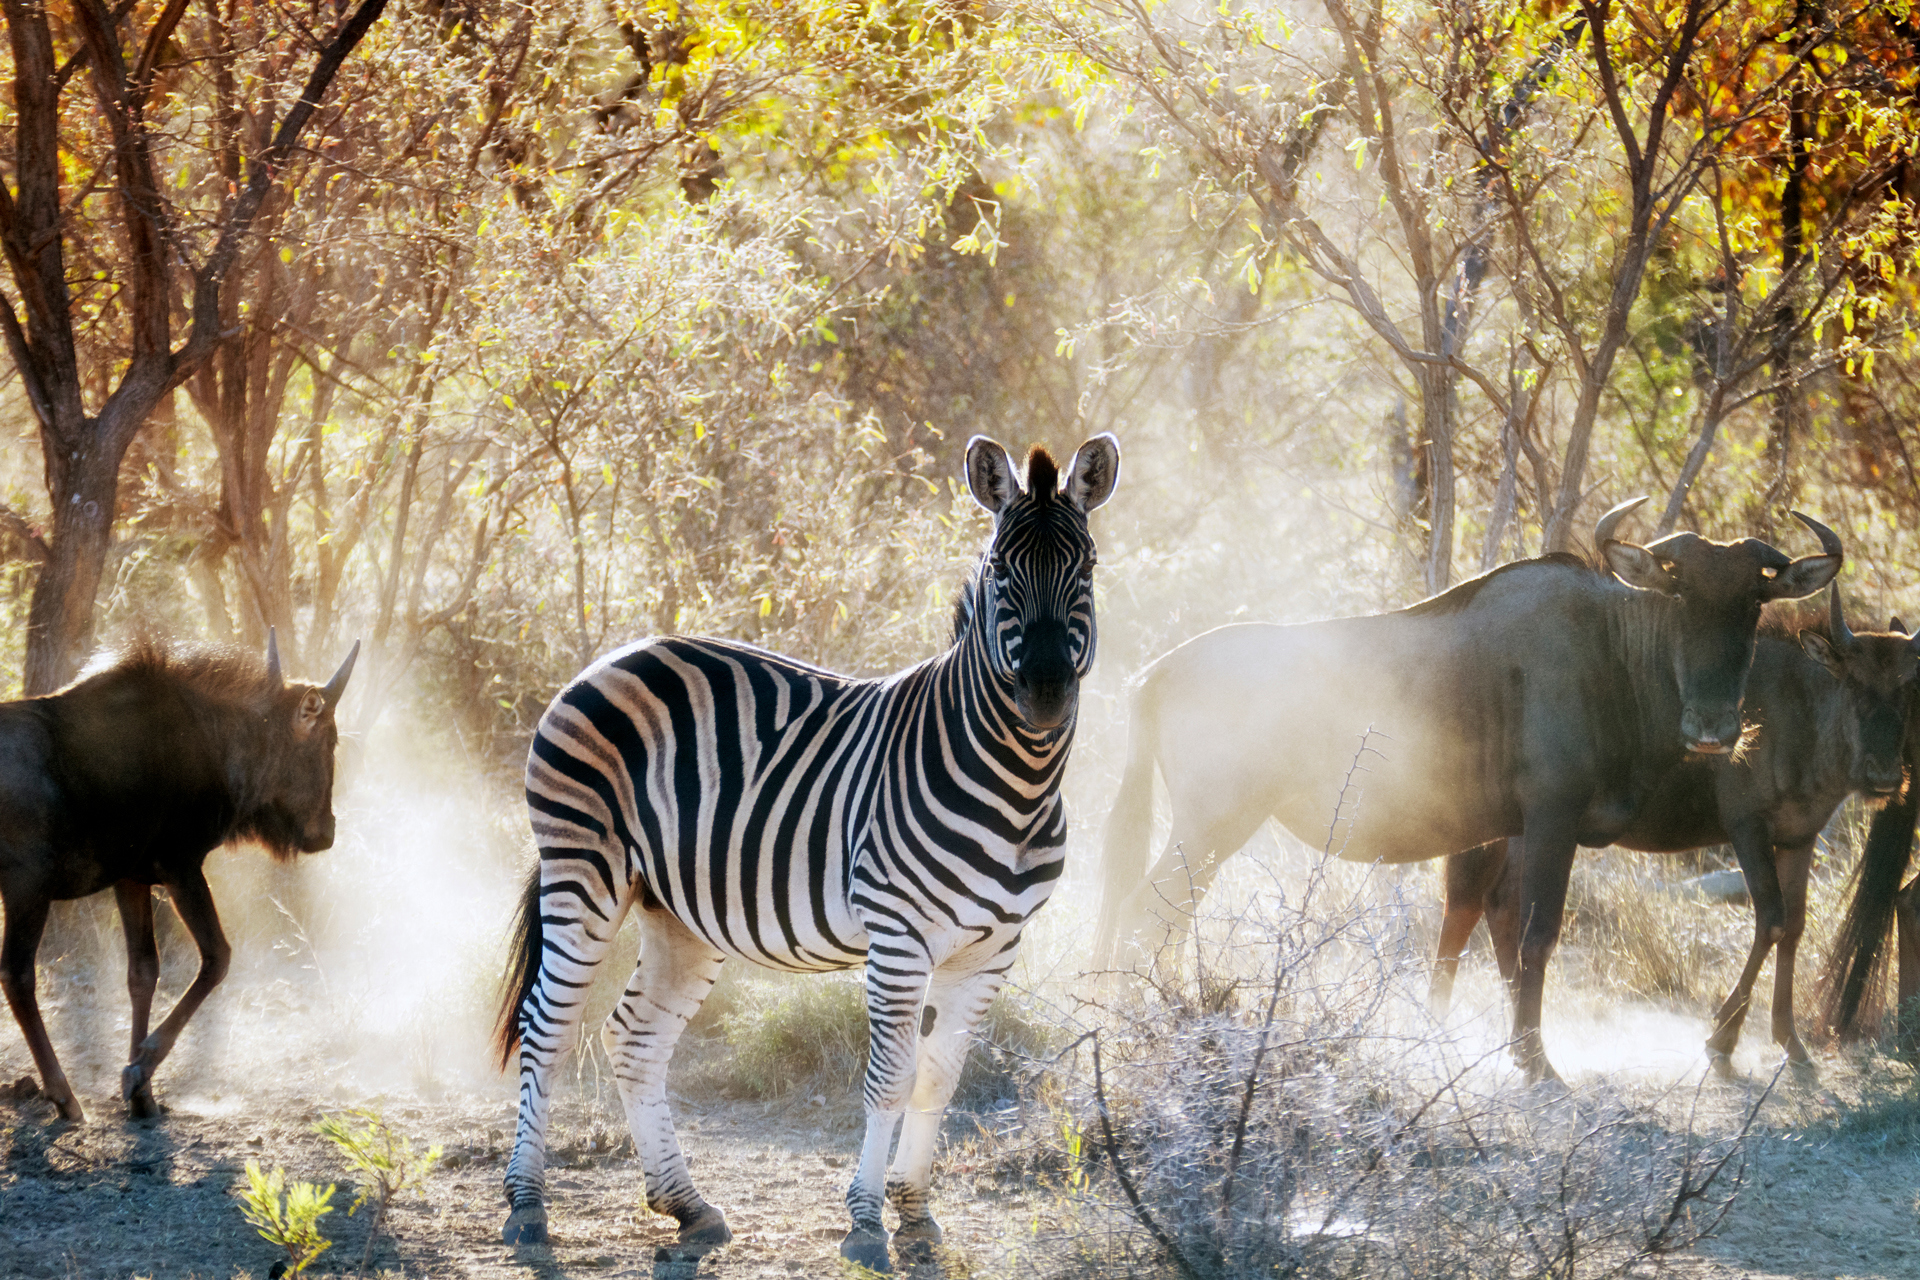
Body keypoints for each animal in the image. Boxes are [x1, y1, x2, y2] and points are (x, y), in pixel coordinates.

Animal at [494, 434, 1119, 1272]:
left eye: (1087, 568)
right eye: (999, 572)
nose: (1046, 694)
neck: (1016, 783)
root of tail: (614, 656)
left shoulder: (993, 947)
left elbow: (940, 1080)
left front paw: (916, 1215)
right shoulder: (899, 934)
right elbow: (889, 1080)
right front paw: (865, 1223)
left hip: (677, 911)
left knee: (634, 1036)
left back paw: (688, 1207)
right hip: (582, 871)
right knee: (547, 1027)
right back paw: (528, 1207)